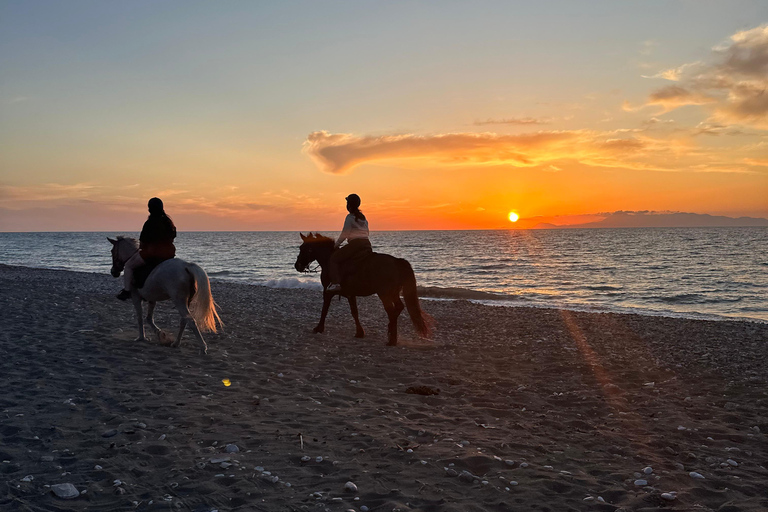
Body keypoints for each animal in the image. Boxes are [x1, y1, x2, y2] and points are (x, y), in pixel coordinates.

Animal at [294, 234, 432, 346]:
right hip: (393, 293)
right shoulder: (350, 294)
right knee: (398, 307)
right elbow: (354, 312)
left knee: (391, 311)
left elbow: (324, 310)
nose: (297, 266)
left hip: (384, 294)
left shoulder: (327, 292)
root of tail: (396, 261)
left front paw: (319, 328)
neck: (329, 260)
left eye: (304, 248)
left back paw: (392, 339)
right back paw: (391, 333)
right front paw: (360, 332)